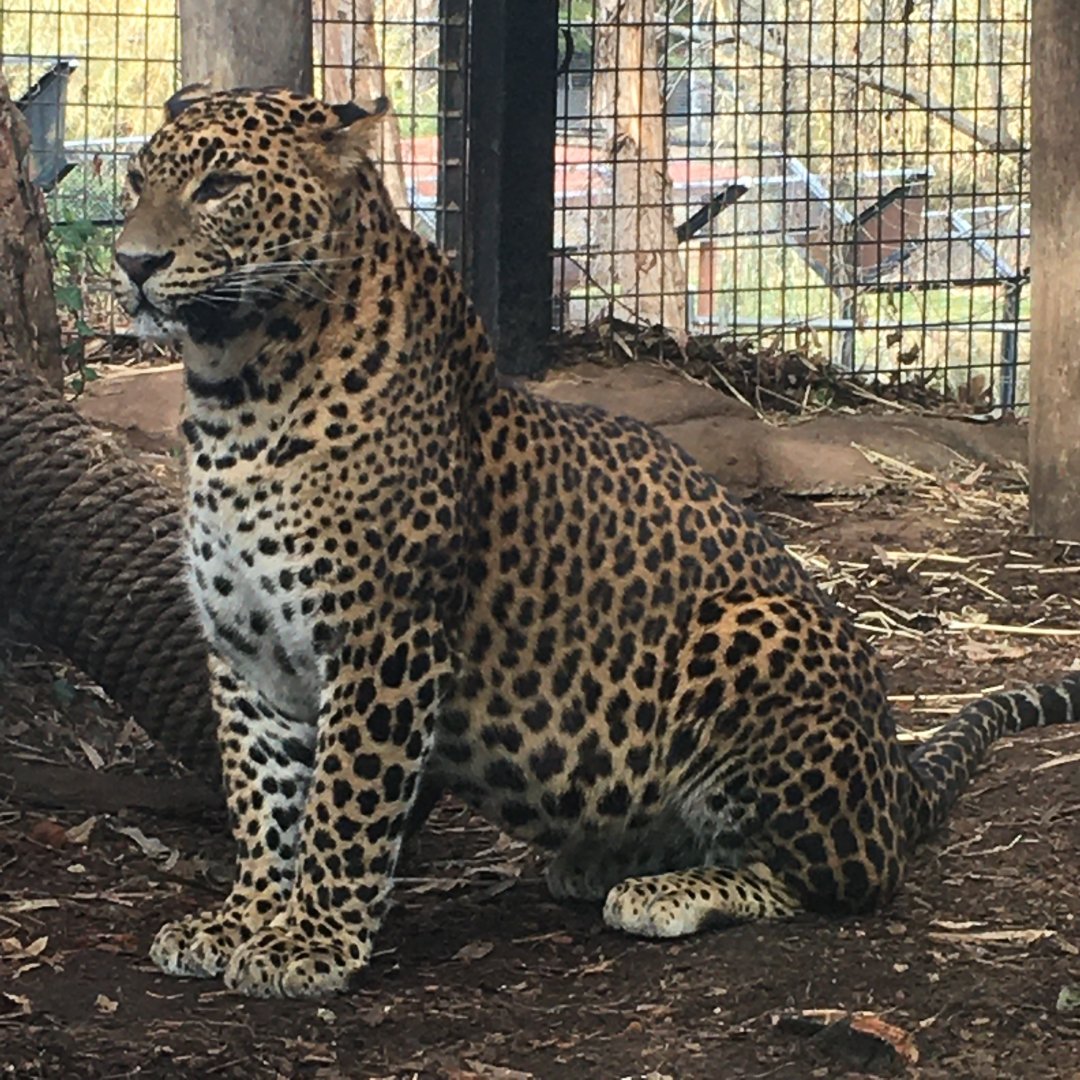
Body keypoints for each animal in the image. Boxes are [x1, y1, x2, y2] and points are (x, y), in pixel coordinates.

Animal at [112, 84, 1080, 1000]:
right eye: (134, 181)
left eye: (221, 186)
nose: (131, 263)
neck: (237, 391)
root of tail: (893, 779)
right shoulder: (247, 656)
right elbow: (262, 801)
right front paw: (245, 920)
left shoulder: (383, 641)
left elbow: (344, 807)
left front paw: (310, 944)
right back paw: (606, 862)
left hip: (757, 630)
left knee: (844, 878)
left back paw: (671, 891)